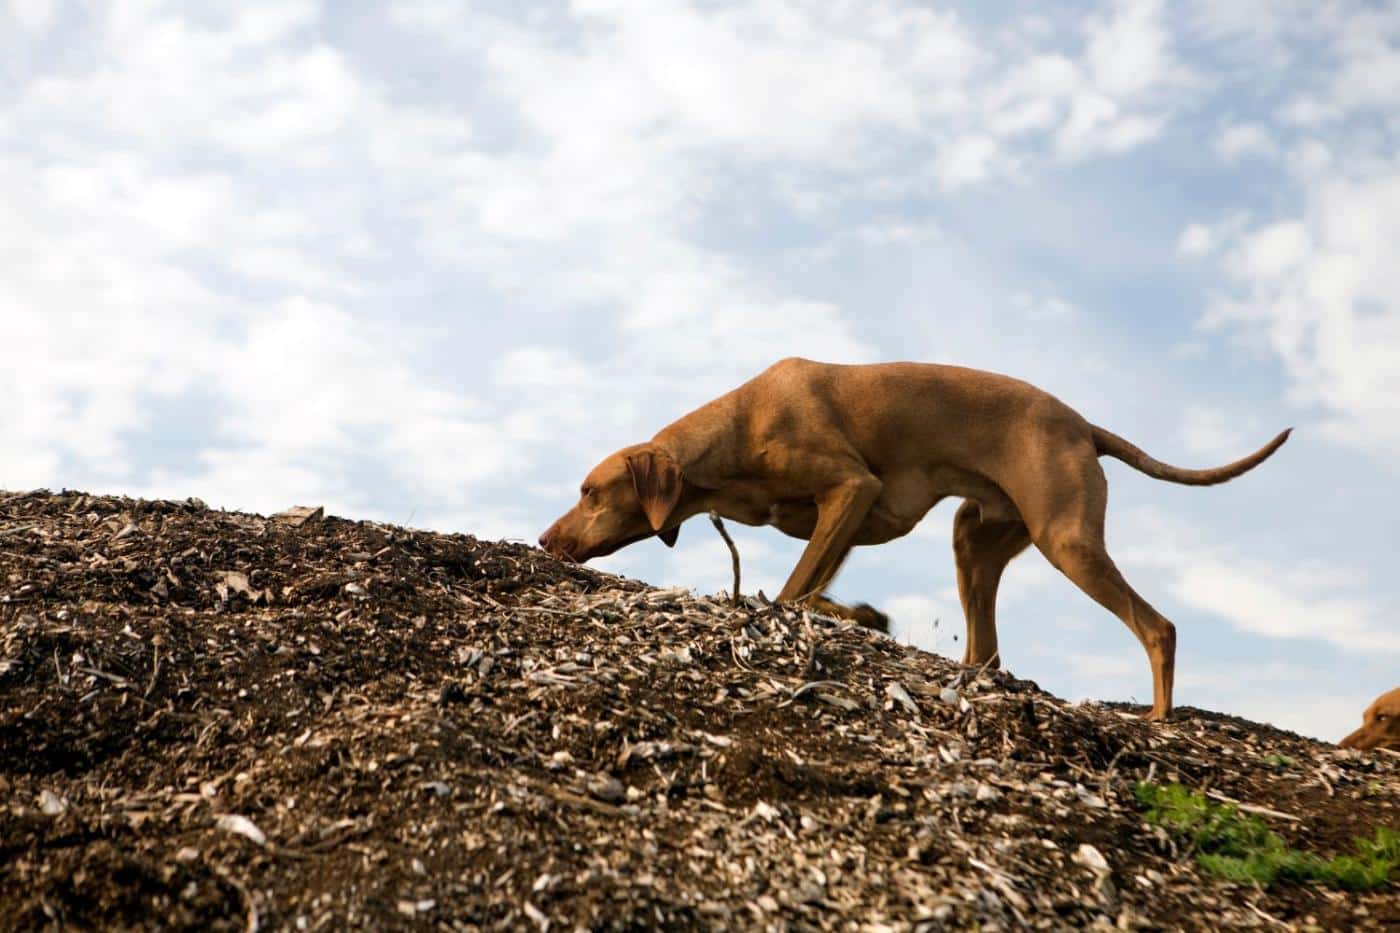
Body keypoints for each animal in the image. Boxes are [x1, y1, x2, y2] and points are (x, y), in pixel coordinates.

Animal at [537, 357, 1288, 717]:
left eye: (589, 491)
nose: (545, 540)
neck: (737, 429)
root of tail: (1084, 425)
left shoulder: (851, 489)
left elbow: (793, 588)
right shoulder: (845, 516)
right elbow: (817, 587)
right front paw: (860, 616)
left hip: (1066, 537)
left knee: (1157, 626)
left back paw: (1157, 718)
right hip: (974, 540)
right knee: (986, 649)